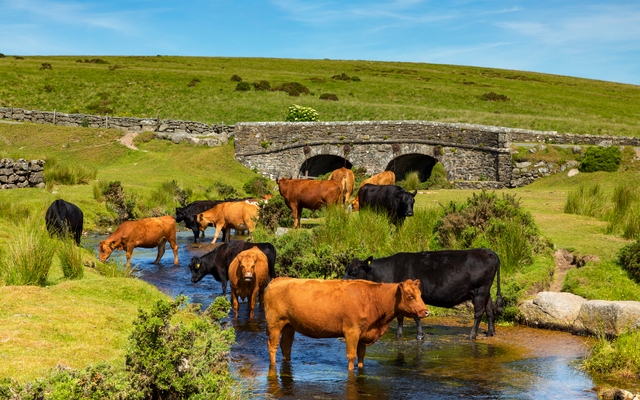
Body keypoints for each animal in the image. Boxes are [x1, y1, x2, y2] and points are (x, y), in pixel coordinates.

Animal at [265, 278, 429, 370]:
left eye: (420, 294)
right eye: (410, 296)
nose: (426, 312)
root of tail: (278, 279)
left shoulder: (364, 332)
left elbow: (361, 355)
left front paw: (361, 368)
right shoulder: (351, 331)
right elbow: (351, 356)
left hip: (289, 325)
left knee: (286, 346)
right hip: (275, 323)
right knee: (272, 345)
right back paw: (273, 366)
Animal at [342, 249, 503, 340]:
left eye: (353, 272)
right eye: (345, 269)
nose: (341, 283)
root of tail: (490, 252)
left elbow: (416, 317)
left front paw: (420, 334)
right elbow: (400, 317)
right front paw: (399, 334)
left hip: (480, 289)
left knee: (479, 312)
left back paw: (472, 335)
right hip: (485, 291)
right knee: (490, 308)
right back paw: (490, 332)